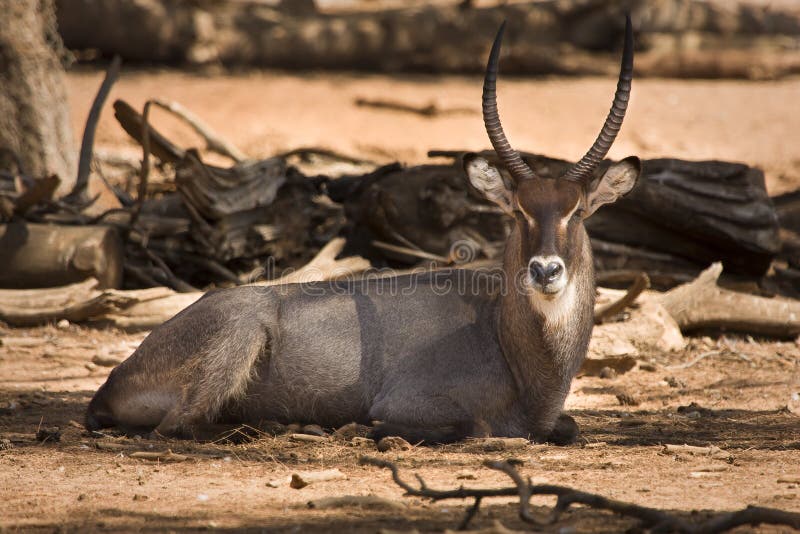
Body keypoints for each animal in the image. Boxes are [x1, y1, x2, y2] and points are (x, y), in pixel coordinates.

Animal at [86, 16, 636, 446]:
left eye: (577, 211)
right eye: (518, 211)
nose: (545, 271)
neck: (508, 338)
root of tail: (114, 380)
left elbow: (568, 426)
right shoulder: (411, 401)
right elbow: (467, 425)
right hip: (240, 336)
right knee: (180, 426)